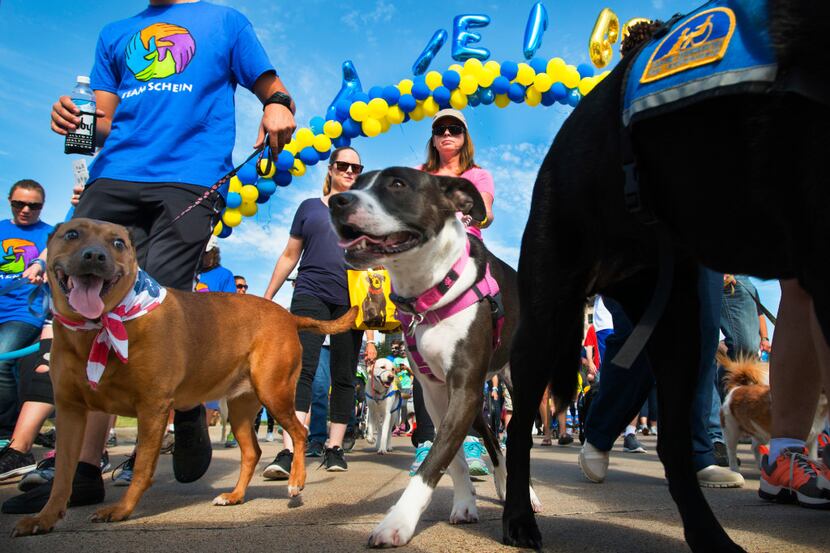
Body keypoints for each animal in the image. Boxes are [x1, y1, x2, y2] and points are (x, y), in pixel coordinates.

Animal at [13, 219, 356, 536]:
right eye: (71, 234)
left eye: (118, 243)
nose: (95, 256)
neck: (102, 325)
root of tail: (287, 315)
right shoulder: (70, 411)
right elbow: (63, 475)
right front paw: (44, 517)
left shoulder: (152, 408)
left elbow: (142, 467)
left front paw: (122, 510)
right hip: (241, 409)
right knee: (252, 452)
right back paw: (235, 495)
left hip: (274, 392)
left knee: (299, 432)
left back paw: (296, 480)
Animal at [328, 169, 544, 548]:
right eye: (357, 182)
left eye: (397, 184)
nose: (337, 201)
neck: (431, 290)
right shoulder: (438, 394)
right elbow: (450, 458)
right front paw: (464, 503)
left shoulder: (464, 390)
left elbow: (434, 461)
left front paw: (397, 521)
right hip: (477, 403)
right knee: (492, 439)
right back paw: (501, 485)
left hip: (513, 387)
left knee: (517, 438)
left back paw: (525, 496)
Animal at [504, 2, 830, 548]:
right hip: (544, 323)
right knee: (517, 427)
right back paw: (518, 518)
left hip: (679, 324)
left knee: (673, 446)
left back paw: (709, 533)